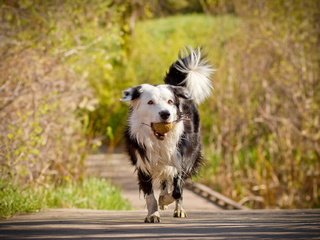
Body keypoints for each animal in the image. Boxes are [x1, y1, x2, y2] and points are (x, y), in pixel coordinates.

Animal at [121, 47, 214, 223]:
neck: (159, 140)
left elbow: (177, 190)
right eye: (150, 102)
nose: (165, 114)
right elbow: (150, 195)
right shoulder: (143, 162)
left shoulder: (181, 159)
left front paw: (166, 201)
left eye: (170, 102)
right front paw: (153, 214)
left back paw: (178, 209)